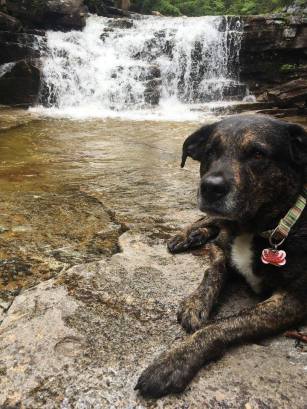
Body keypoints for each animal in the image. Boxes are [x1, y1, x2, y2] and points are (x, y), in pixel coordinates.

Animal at [136, 115, 307, 398]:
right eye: (210, 152)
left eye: (258, 153)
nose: (210, 188)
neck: (251, 229)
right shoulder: (222, 248)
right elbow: (214, 269)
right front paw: (196, 302)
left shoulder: (295, 298)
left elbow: (227, 323)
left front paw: (175, 359)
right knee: (207, 218)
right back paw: (188, 234)